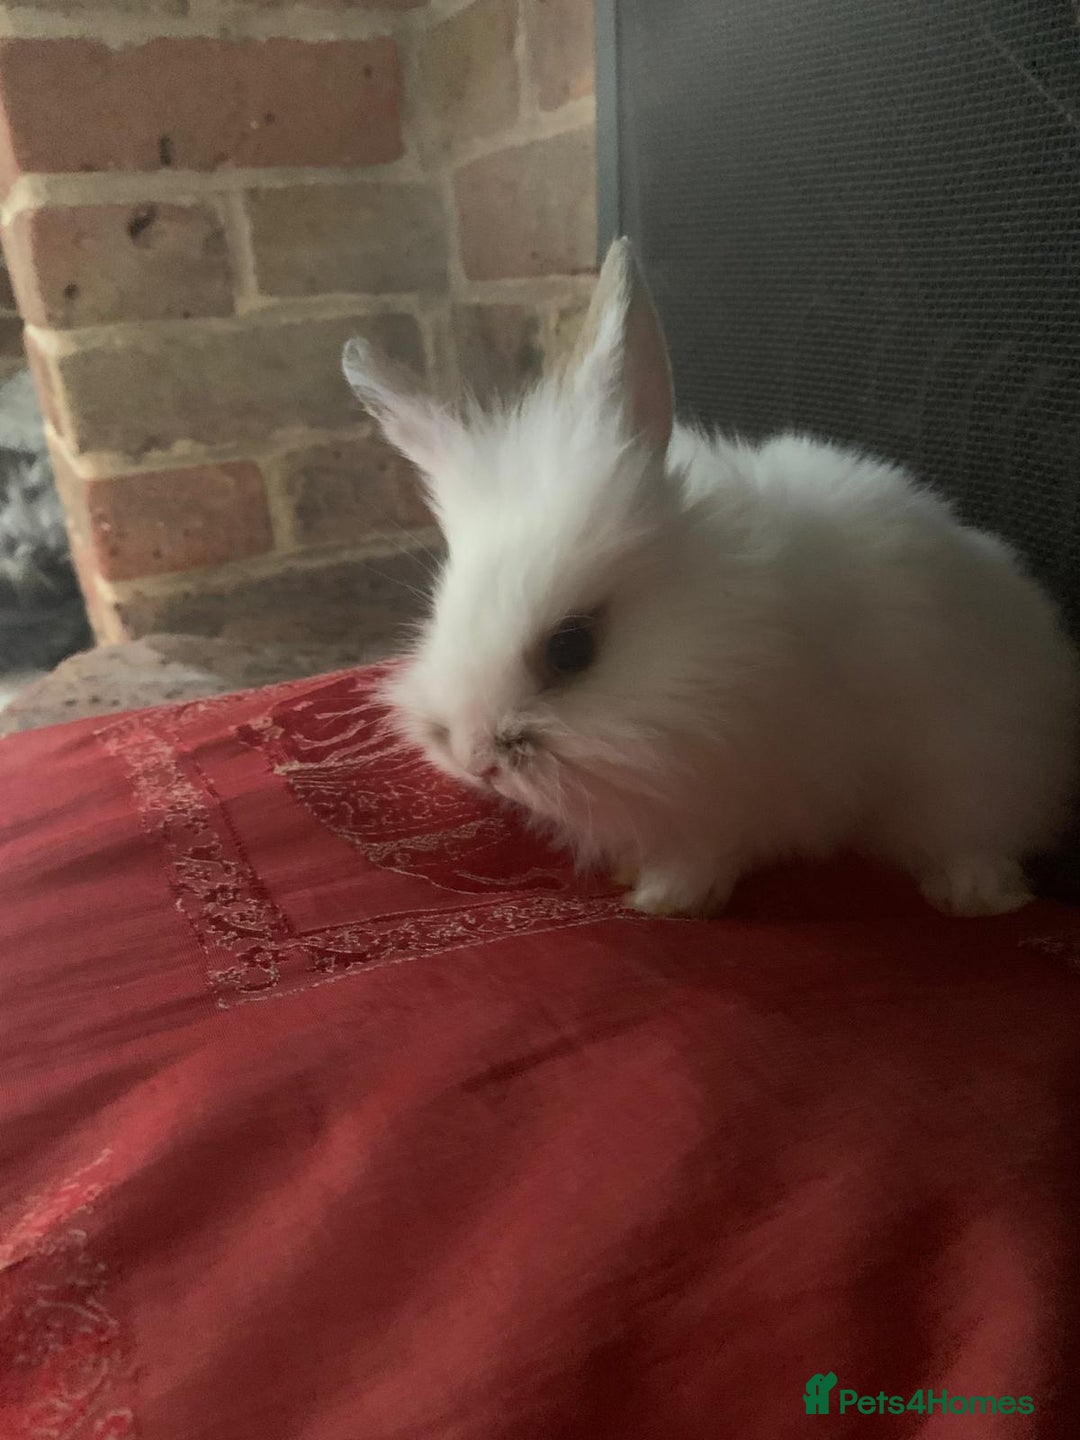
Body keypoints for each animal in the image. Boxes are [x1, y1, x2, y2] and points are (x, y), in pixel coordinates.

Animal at [342, 238, 1080, 919]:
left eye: (572, 647)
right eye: (438, 617)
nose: (475, 759)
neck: (723, 645)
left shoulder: (743, 796)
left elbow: (705, 856)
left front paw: (665, 900)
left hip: (982, 761)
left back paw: (974, 897)